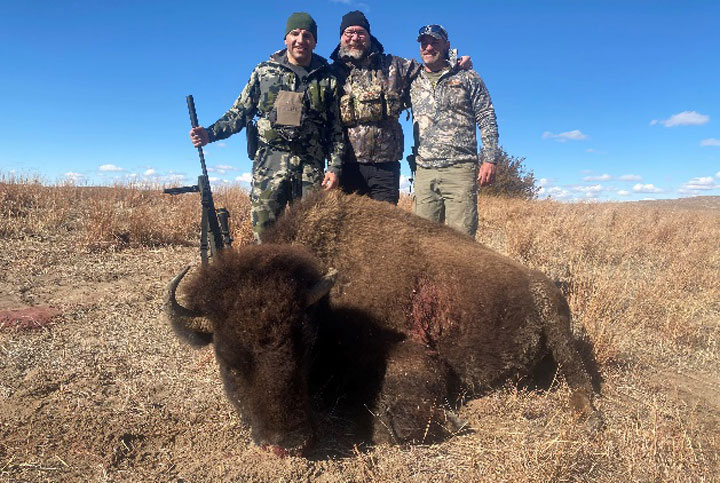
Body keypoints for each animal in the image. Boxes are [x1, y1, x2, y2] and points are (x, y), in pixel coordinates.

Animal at [166, 191, 600, 456]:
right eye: (228, 362)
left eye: (305, 349)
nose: (287, 442)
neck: (327, 301)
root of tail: (541, 281)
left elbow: (392, 426)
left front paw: (447, 420)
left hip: (557, 324)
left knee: (580, 378)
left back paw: (587, 415)